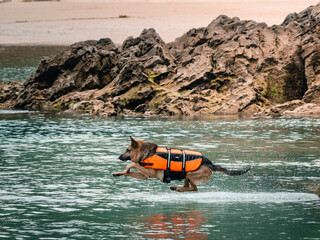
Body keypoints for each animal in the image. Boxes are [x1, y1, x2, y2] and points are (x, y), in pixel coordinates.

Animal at [112, 137, 250, 191]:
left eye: (127, 150)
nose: (118, 157)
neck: (148, 154)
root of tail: (210, 163)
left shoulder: (149, 172)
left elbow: (132, 165)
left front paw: (125, 169)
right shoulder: (145, 176)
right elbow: (129, 170)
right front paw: (118, 173)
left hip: (189, 174)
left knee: (194, 188)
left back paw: (178, 188)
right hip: (186, 176)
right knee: (190, 187)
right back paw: (177, 187)